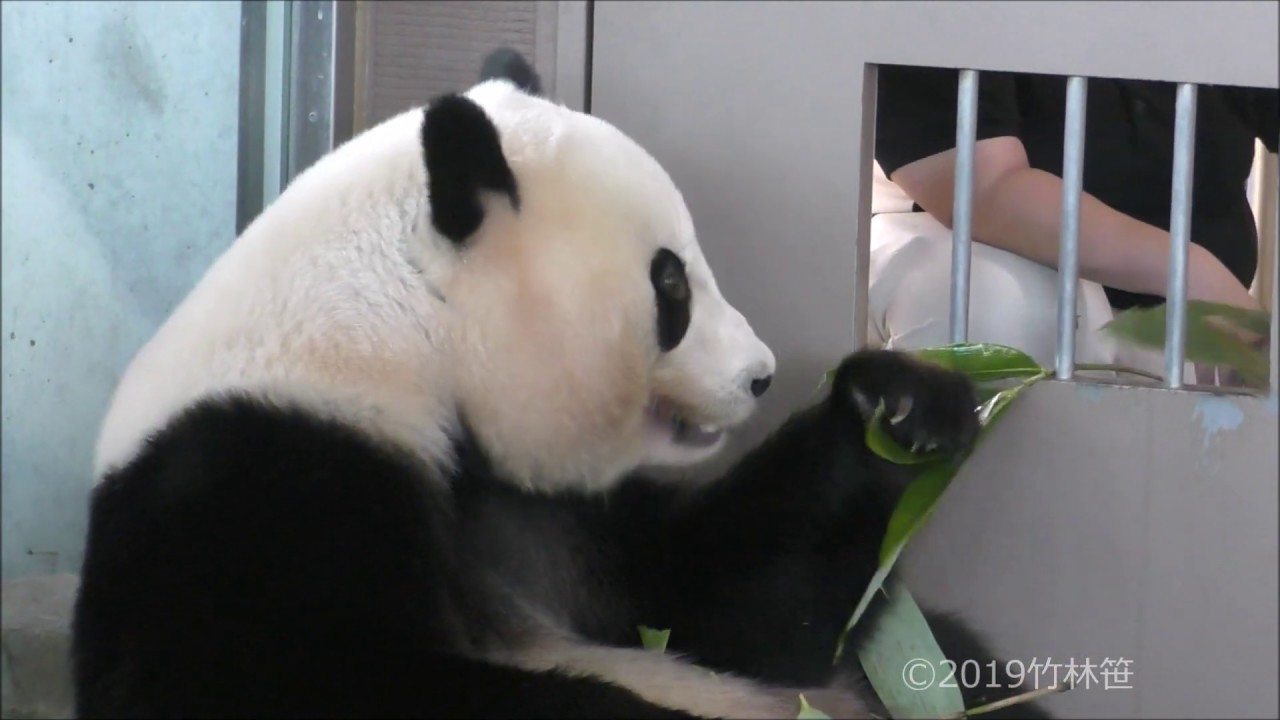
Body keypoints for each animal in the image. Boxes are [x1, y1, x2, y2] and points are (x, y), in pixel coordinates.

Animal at [71, 48, 1049, 719]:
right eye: (670, 285)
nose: (762, 375)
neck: (395, 334)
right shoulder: (253, 475)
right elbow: (291, 680)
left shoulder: (542, 507)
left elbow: (720, 611)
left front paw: (905, 406)